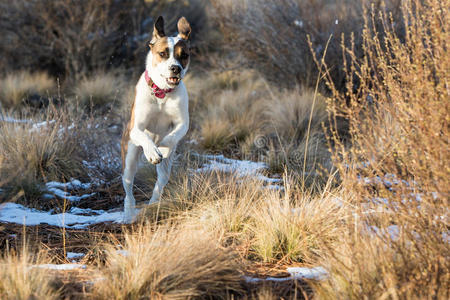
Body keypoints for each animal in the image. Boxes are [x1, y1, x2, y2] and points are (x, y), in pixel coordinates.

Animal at [120, 16, 191, 223]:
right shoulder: (136, 128)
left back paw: (153, 205)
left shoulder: (183, 123)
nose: (175, 68)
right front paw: (152, 151)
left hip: (166, 170)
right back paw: (128, 214)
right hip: (129, 158)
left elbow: (172, 136)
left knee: (160, 183)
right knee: (128, 188)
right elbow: (144, 136)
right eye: (163, 54)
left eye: (184, 55)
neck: (162, 93)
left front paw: (163, 147)